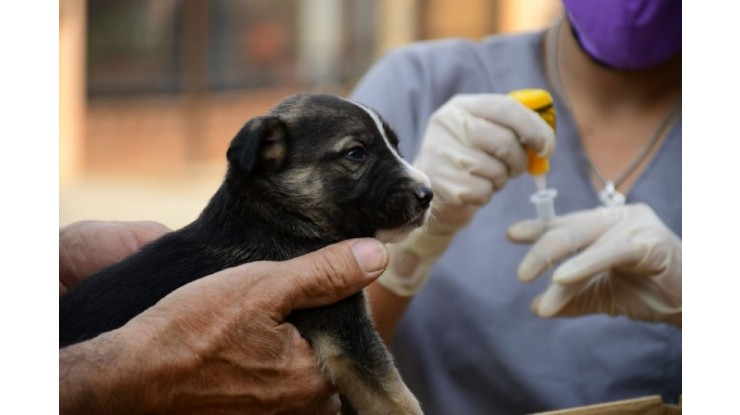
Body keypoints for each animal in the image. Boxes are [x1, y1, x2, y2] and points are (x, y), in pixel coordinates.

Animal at [62, 94, 434, 415]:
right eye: (356, 153)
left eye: (396, 147)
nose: (428, 194)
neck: (279, 216)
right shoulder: (346, 331)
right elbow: (397, 399)